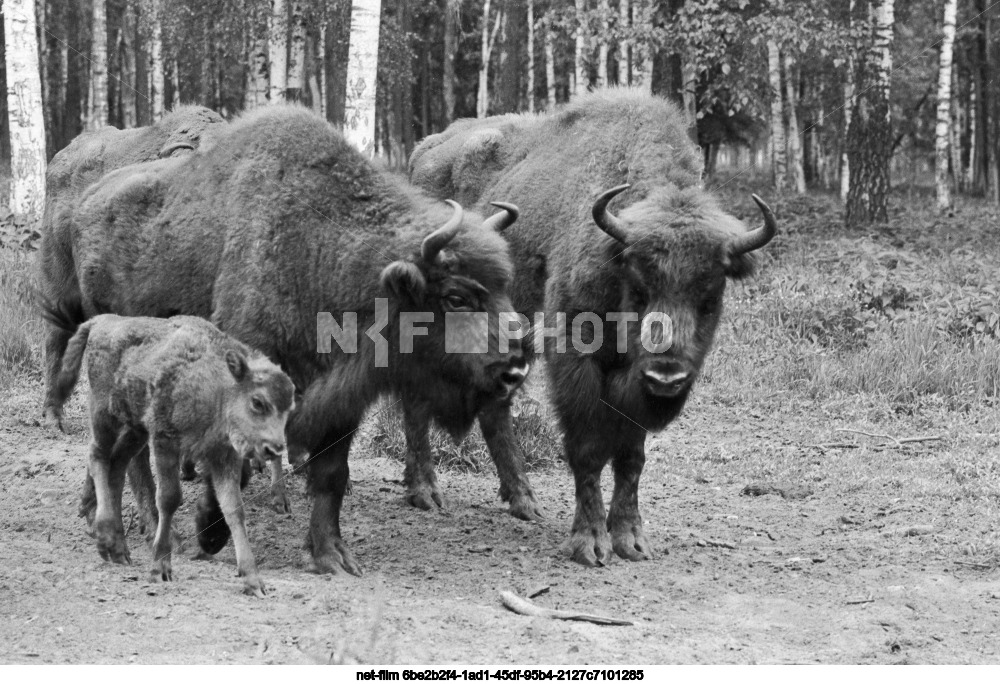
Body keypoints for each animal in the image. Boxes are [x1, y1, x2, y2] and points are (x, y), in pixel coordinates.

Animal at [51, 312, 292, 596]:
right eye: (257, 402)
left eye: (289, 407)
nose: (274, 448)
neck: (216, 387)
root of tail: (100, 322)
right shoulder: (165, 442)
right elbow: (169, 498)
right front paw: (161, 567)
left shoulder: (223, 457)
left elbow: (234, 509)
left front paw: (253, 580)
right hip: (105, 415)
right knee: (98, 456)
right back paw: (106, 536)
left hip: (135, 429)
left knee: (117, 466)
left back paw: (119, 549)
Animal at [410, 87, 776, 568]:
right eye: (638, 288)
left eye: (710, 298)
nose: (667, 376)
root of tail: (425, 150)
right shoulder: (574, 354)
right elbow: (587, 449)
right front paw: (589, 542)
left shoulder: (632, 382)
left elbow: (631, 456)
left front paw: (631, 540)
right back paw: (425, 492)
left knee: (495, 408)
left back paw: (523, 501)